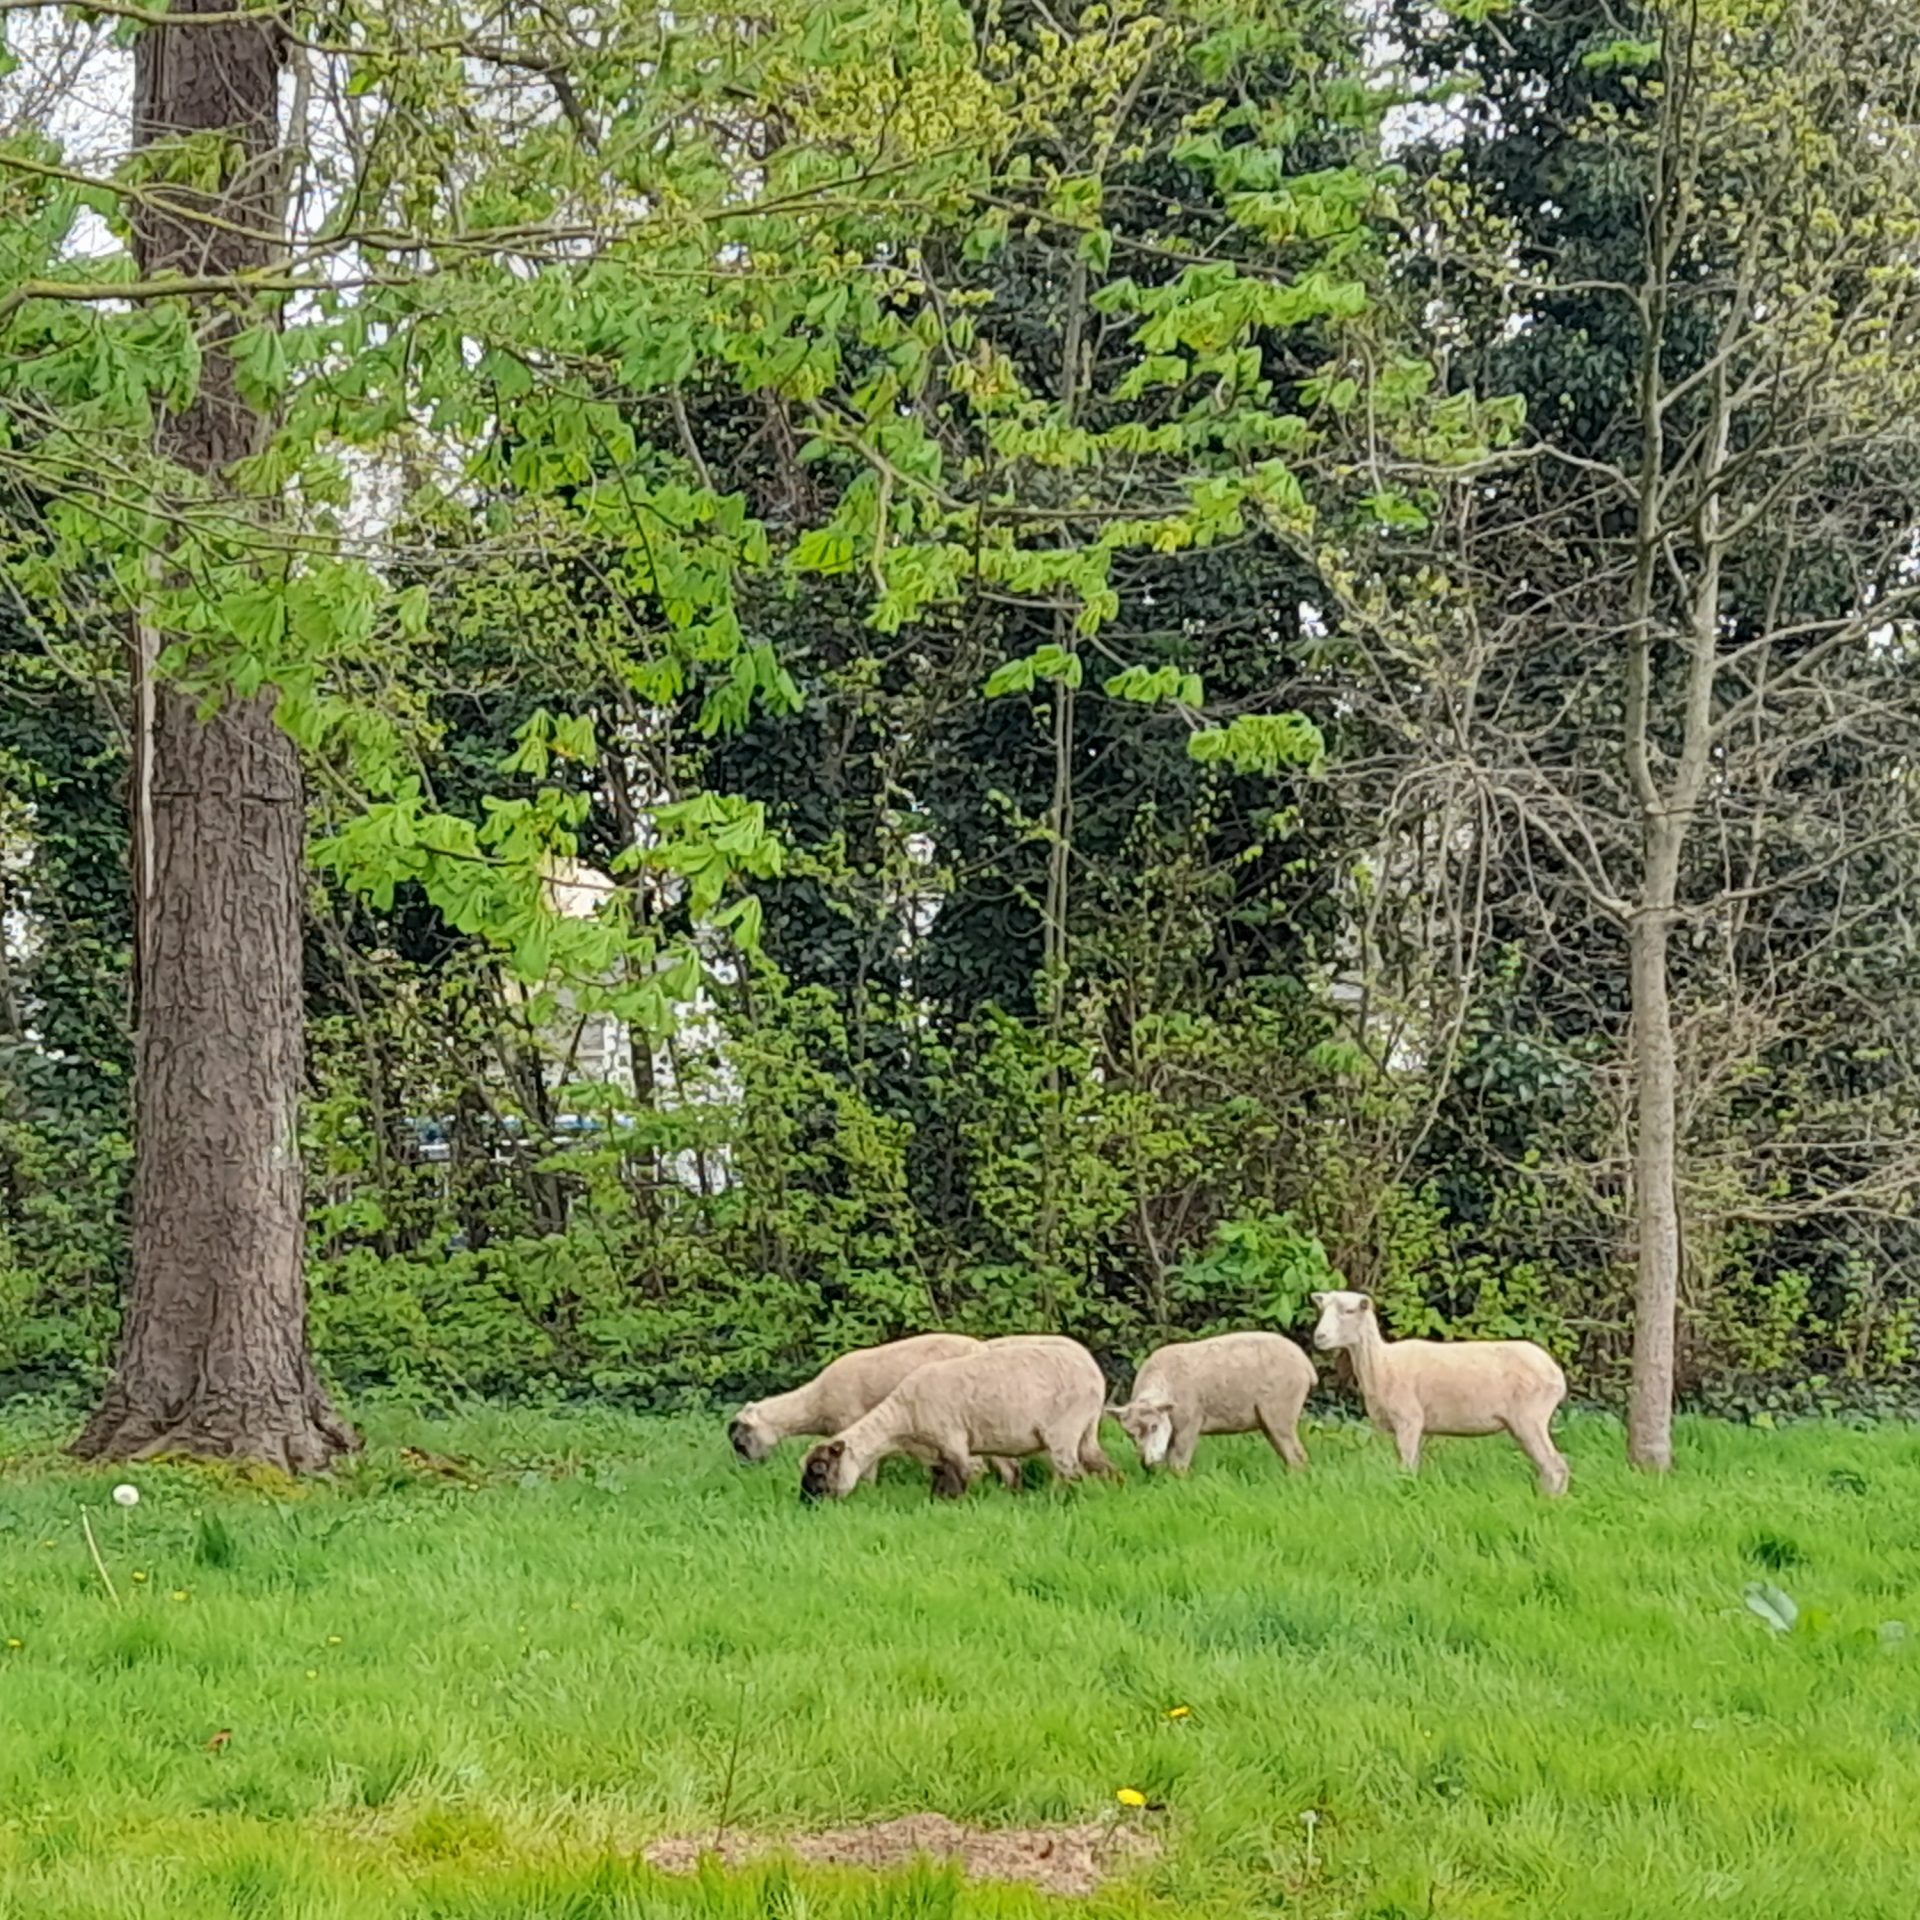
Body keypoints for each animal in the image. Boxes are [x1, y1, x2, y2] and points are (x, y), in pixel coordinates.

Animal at [721, 1328, 1021, 1489]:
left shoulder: (850, 1420)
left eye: (740, 1441)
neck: (813, 1405)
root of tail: (981, 1347)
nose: (749, 1467)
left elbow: (867, 1469)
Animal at [798, 1336, 1121, 1497]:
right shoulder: (935, 1453)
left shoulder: (953, 1441)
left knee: (1070, 1472)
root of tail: (1094, 1374)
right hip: (1086, 1430)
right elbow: (941, 1484)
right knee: (1104, 1466)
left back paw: (1058, 1501)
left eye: (820, 1469)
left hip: (1063, 1430)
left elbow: (965, 1479)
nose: (808, 1500)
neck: (903, 1418)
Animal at [1113, 1328, 1320, 1474]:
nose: (1147, 1462)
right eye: (1129, 1434)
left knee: (1297, 1456)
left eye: (1154, 1426)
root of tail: (1305, 1364)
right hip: (1268, 1420)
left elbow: (1178, 1463)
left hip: (1281, 1411)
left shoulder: (1189, 1424)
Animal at [1305, 1290, 1574, 1497]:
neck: (1382, 1363)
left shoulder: (1409, 1419)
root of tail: (1556, 1374)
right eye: (1322, 1309)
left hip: (1530, 1417)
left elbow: (1406, 1468)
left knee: (1556, 1465)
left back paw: (1550, 1502)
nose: (1319, 1336)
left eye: (1349, 1311)